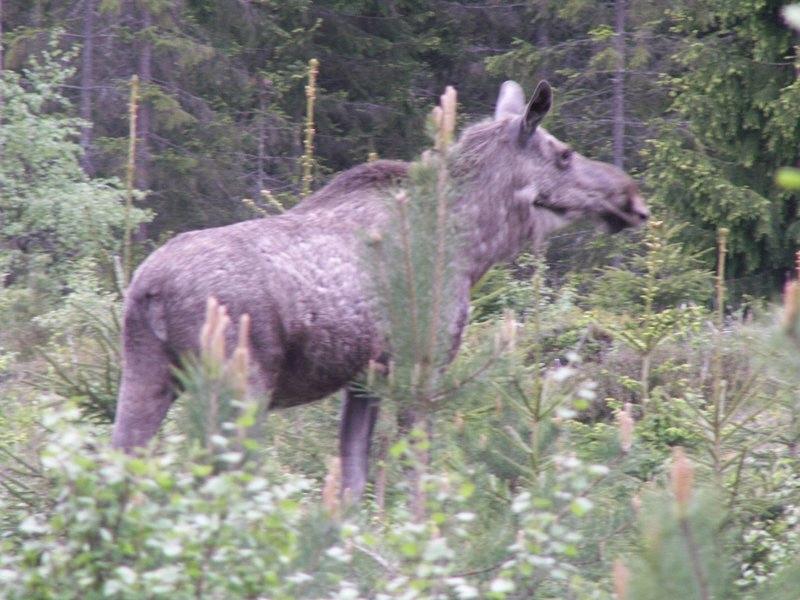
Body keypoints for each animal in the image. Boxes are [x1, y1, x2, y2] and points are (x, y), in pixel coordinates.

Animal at [114, 82, 648, 500]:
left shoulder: (364, 380)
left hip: (144, 374)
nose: (632, 199)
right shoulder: (423, 363)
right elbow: (414, 472)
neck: (473, 249)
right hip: (239, 381)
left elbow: (352, 480)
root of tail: (148, 290)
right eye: (564, 155)